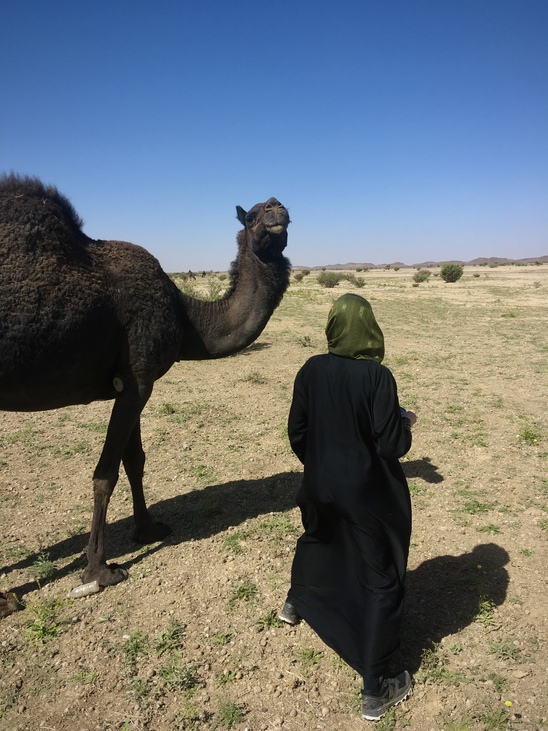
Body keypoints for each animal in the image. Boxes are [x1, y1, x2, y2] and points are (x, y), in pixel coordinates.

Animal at [0, 174, 292, 616]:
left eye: (281, 209)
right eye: (253, 215)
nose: (278, 210)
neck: (187, 317)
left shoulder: (133, 378)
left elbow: (134, 461)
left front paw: (148, 529)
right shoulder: (139, 377)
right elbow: (106, 474)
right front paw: (98, 571)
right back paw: (7, 599)